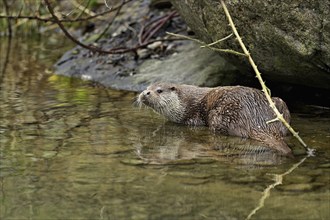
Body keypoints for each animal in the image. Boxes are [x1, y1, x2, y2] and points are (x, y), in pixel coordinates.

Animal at [137, 82, 292, 156]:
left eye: (159, 90)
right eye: (147, 87)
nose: (145, 93)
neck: (185, 103)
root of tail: (258, 119)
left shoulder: (192, 117)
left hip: (221, 115)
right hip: (280, 103)